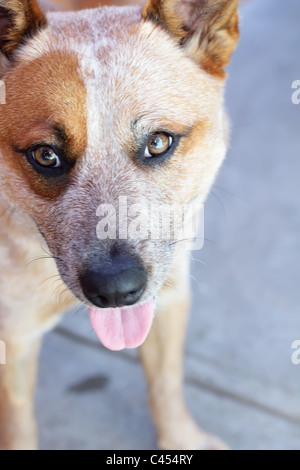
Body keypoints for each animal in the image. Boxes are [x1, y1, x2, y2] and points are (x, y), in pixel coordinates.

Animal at [0, 0, 239, 450]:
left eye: (158, 142)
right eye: (45, 155)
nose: (115, 291)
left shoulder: (170, 286)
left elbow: (165, 382)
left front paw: (181, 439)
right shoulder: (14, 336)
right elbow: (18, 427)